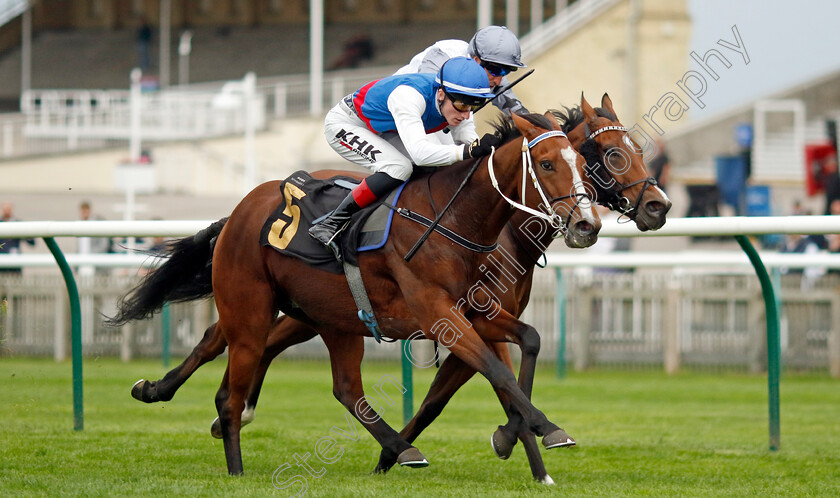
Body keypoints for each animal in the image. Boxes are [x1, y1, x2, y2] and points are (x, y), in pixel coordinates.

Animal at [115, 93, 672, 482]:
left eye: (633, 151)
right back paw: (227, 438)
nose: (658, 206)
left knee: (308, 373)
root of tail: (242, 208)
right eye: (606, 154)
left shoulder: (478, 315)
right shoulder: (445, 318)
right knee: (243, 352)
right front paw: (538, 438)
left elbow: (519, 354)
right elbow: (496, 378)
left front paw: (523, 449)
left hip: (319, 313)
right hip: (253, 302)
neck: (468, 222)